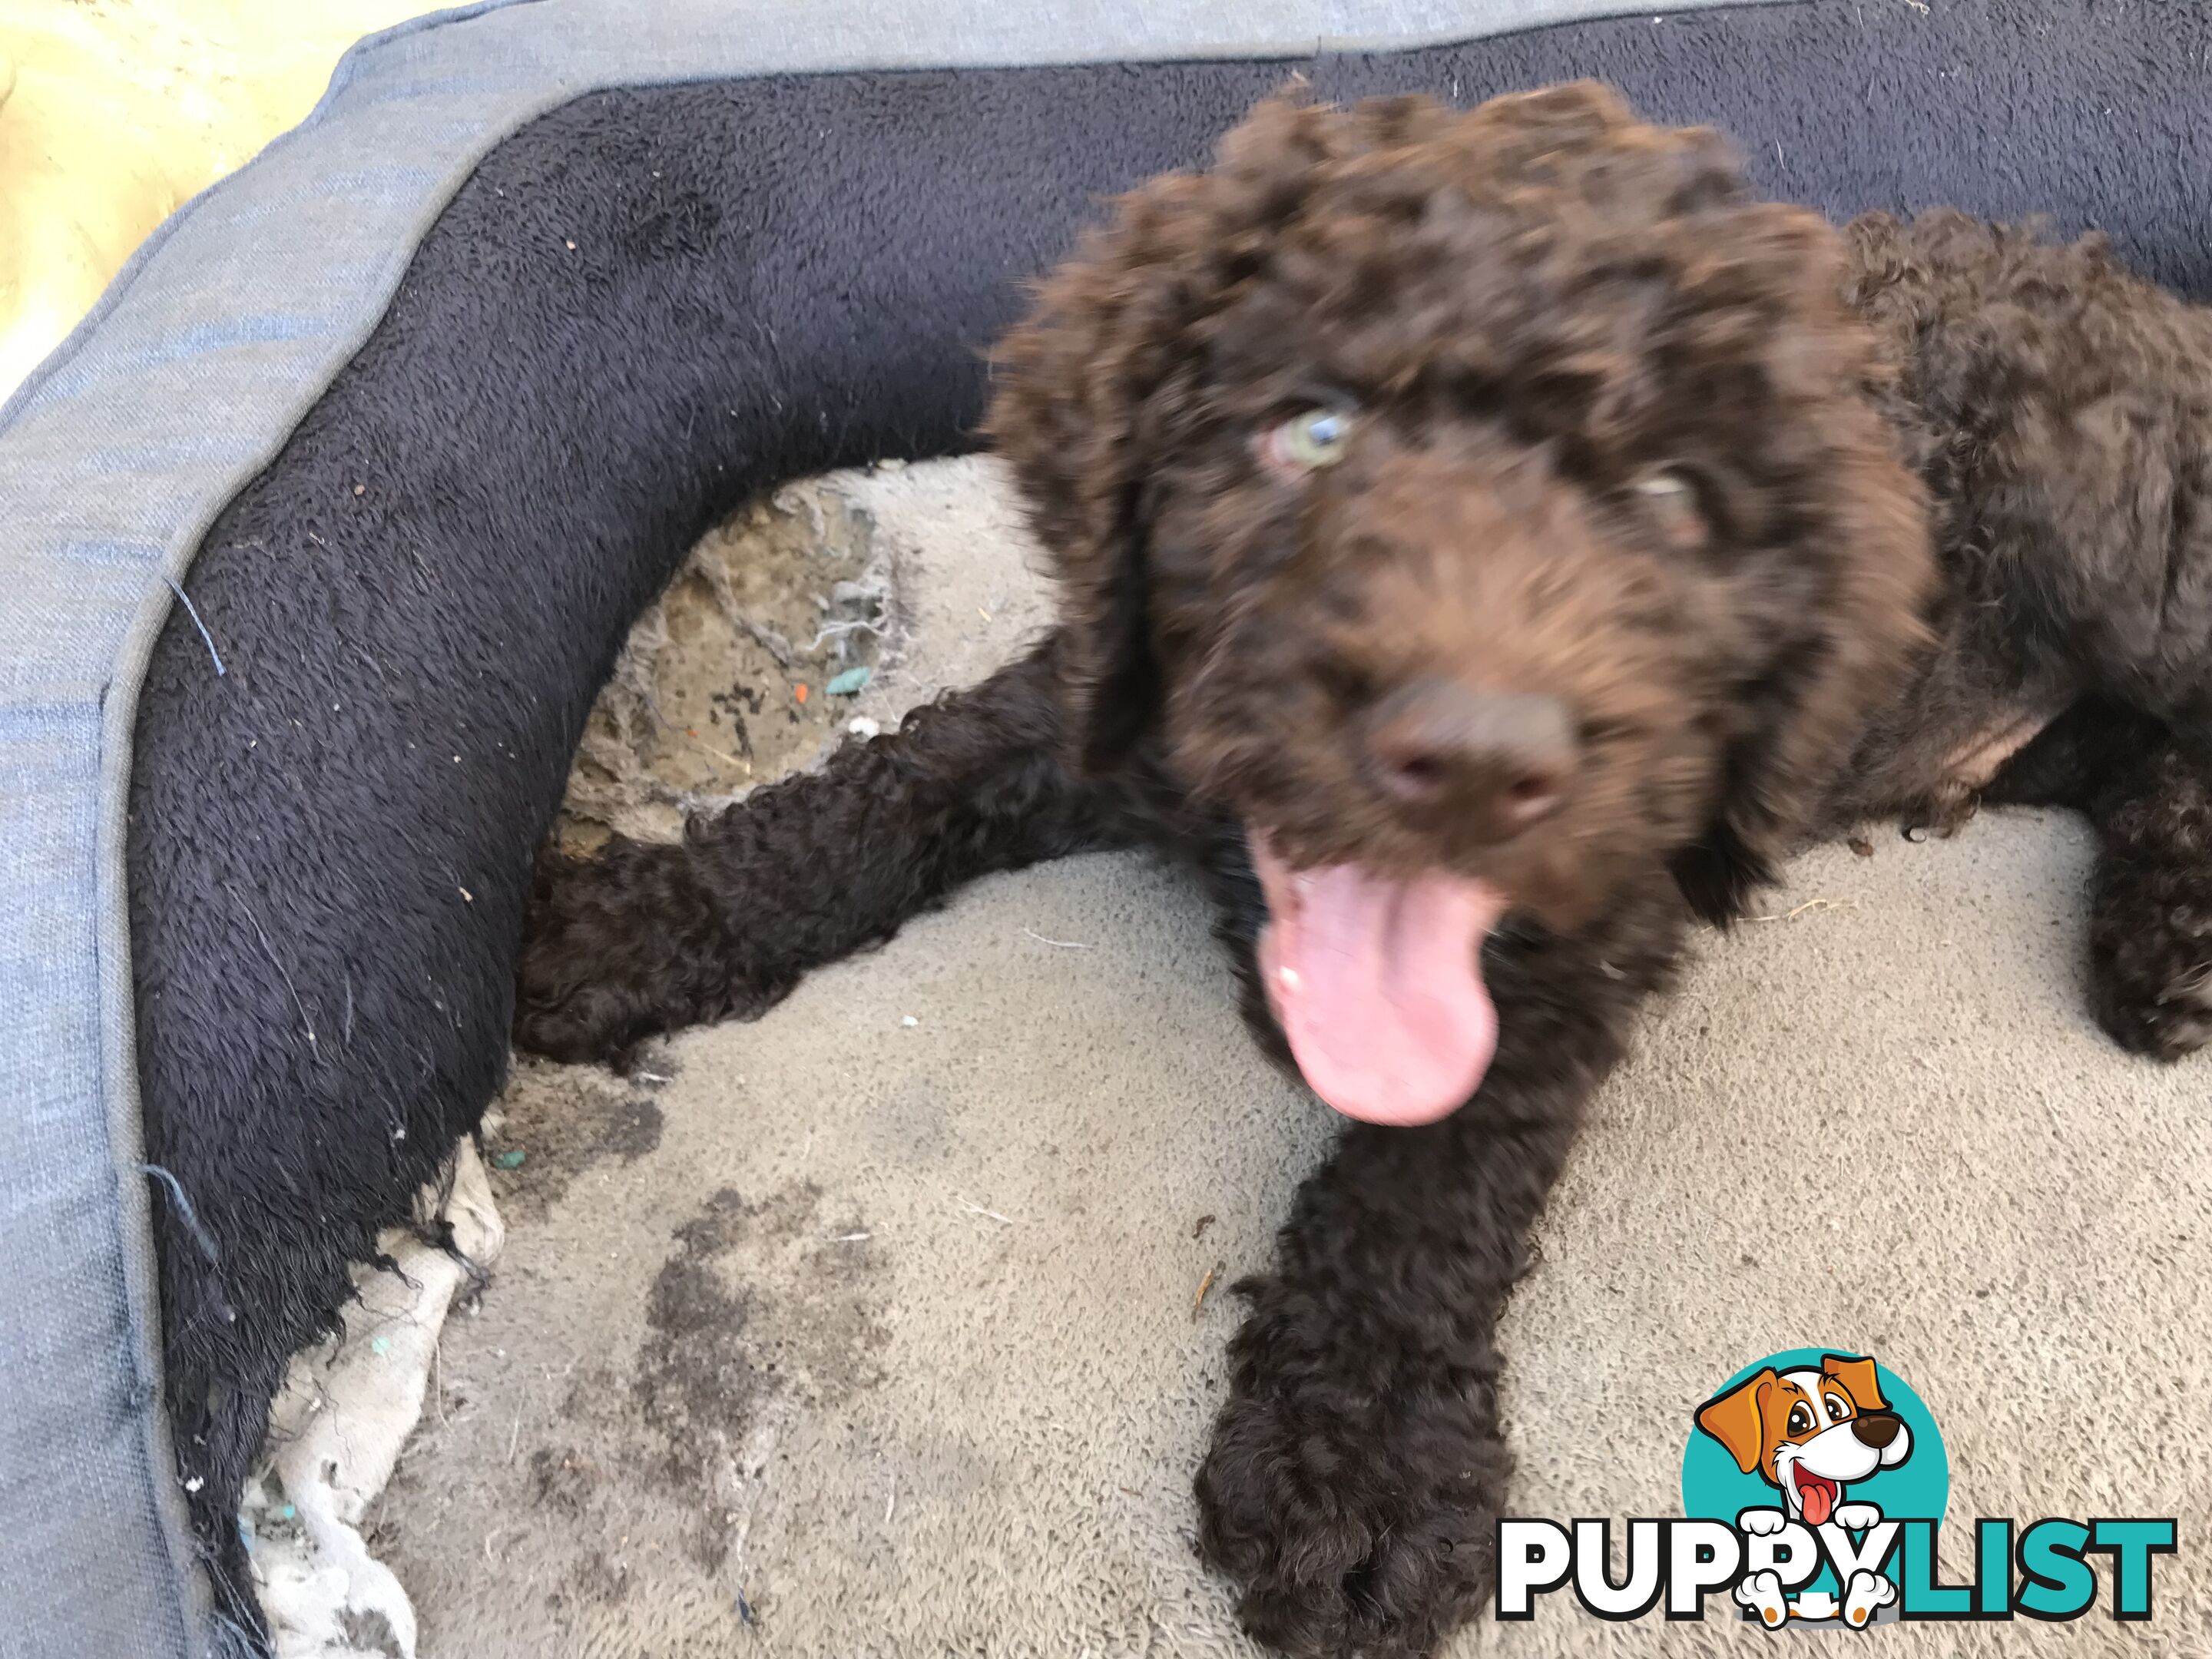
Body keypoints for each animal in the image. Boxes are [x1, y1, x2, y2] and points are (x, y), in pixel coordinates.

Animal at [508, 84, 2212, 1654]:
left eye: (1675, 498)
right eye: (1313, 431)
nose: (1475, 755)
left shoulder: (1585, 926)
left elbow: (1430, 1182)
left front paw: (1359, 1463)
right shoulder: (1089, 707)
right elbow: (872, 797)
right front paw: (631, 923)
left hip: (2113, 548)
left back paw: (2178, 932)